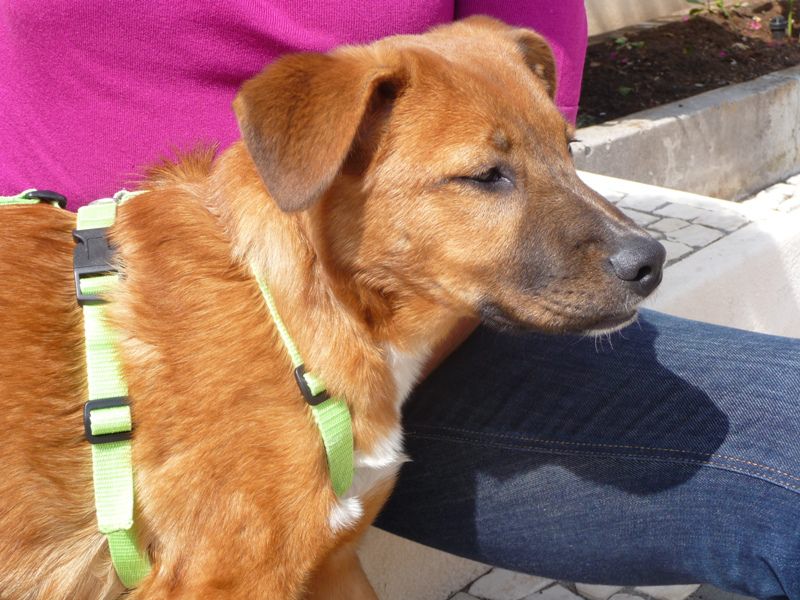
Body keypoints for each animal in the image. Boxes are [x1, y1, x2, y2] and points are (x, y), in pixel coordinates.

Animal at [0, 16, 665, 600]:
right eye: (484, 176)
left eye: (571, 148)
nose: (652, 262)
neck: (289, 311)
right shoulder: (223, 580)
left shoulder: (334, 559)